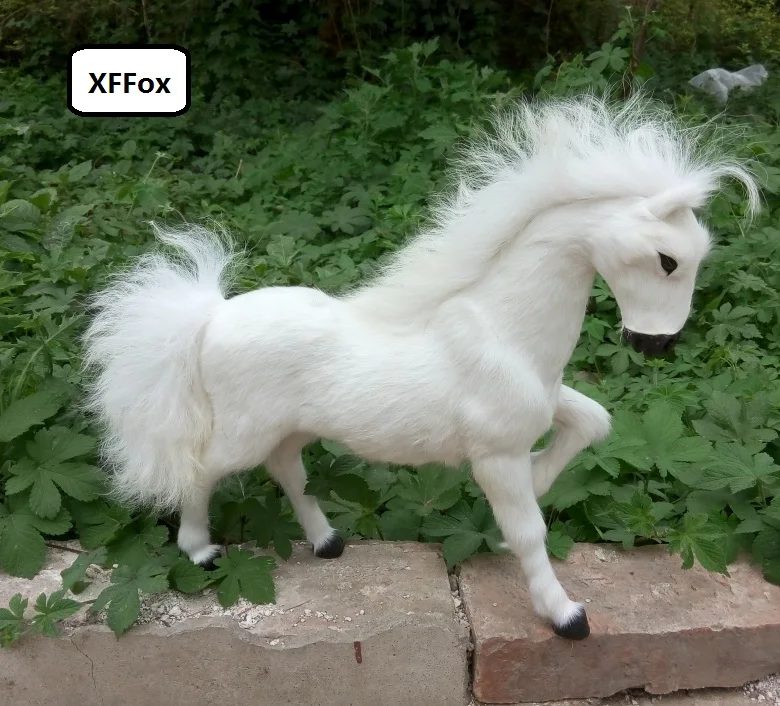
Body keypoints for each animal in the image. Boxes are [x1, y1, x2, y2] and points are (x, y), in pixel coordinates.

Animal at [82, 93, 758, 640]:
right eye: (668, 260)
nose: (655, 346)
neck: (504, 330)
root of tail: (210, 318)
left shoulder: (546, 402)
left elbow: (594, 421)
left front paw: (538, 486)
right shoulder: (495, 455)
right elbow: (530, 532)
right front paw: (566, 615)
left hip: (288, 428)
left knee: (289, 470)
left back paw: (327, 542)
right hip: (244, 431)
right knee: (200, 469)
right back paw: (201, 552)